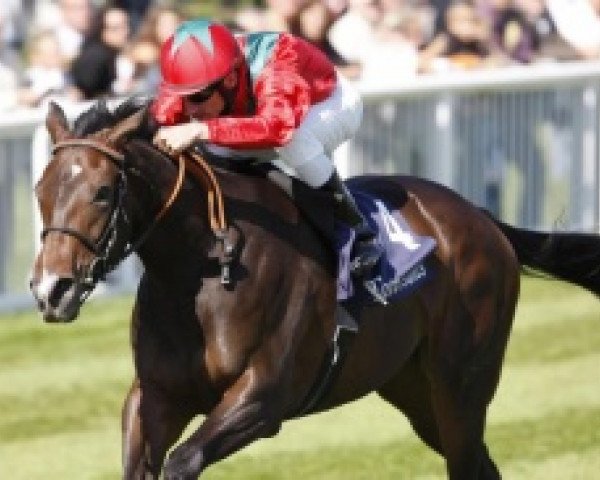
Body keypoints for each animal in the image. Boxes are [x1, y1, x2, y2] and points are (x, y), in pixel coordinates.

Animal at [29, 99, 600, 478]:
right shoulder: (156, 395)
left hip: (462, 383)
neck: (201, 269)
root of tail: (482, 219)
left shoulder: (263, 399)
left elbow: (182, 462)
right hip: (413, 389)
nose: (50, 289)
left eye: (103, 192)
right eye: (41, 189)